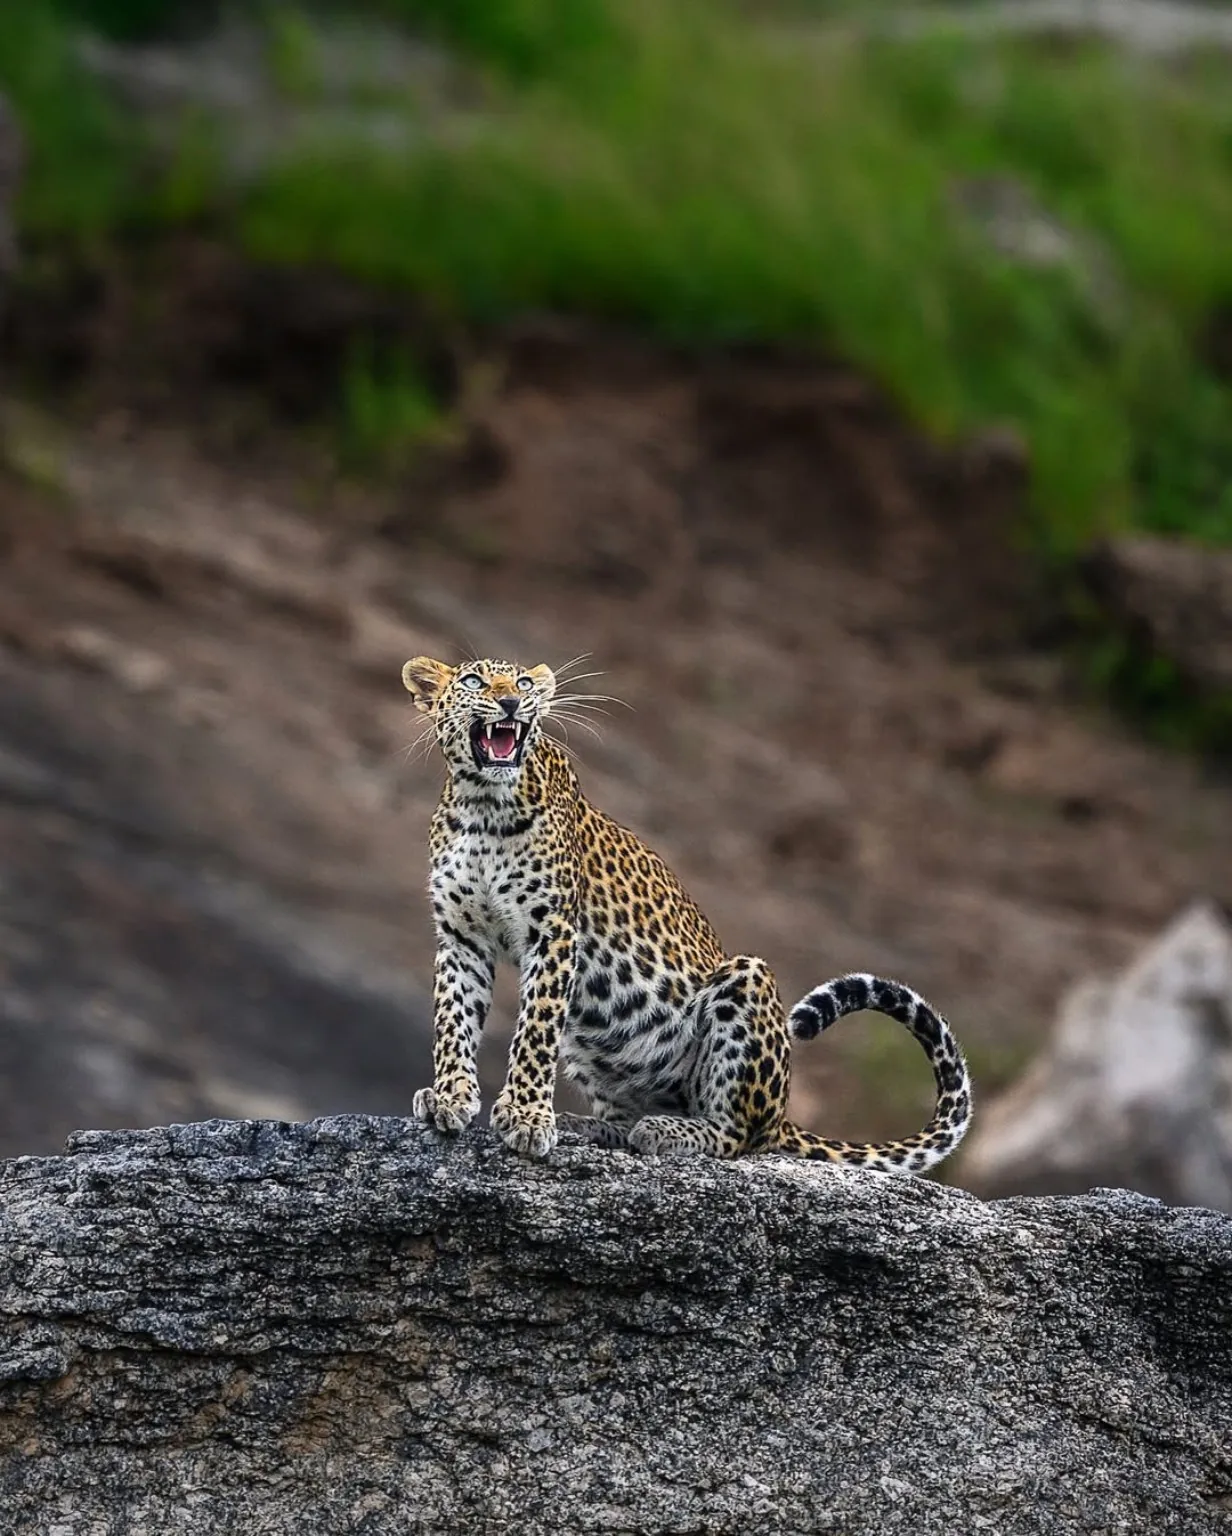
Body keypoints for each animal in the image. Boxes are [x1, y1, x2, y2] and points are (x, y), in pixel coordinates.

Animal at [402, 654, 972, 1169]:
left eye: (522, 682)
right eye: (474, 681)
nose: (510, 702)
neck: (482, 807)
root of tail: (783, 1113)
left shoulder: (554, 933)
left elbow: (535, 1031)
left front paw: (524, 1116)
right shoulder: (461, 937)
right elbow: (453, 1018)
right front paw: (449, 1097)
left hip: (745, 981)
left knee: (739, 1136)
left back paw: (669, 1132)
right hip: (589, 1046)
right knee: (631, 1114)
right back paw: (590, 1126)